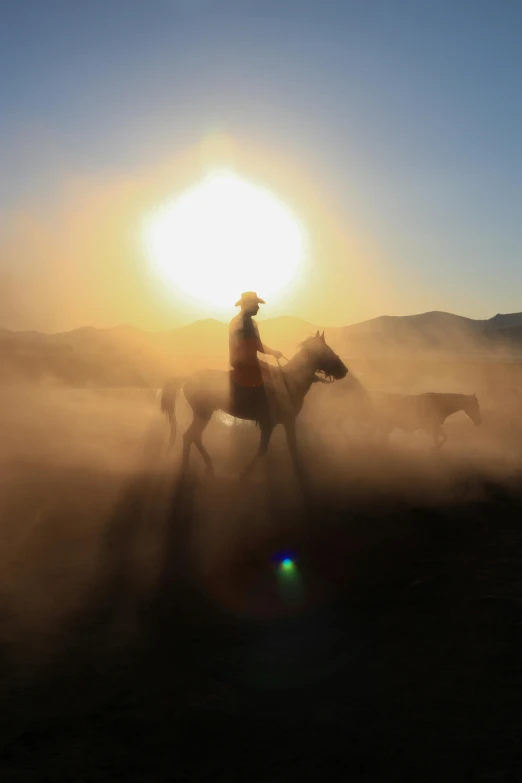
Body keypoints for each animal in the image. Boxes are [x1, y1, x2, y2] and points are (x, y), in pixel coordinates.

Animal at [158, 330, 346, 484]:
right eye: (327, 351)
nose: (344, 371)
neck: (290, 382)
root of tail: (188, 378)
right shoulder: (281, 422)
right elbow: (283, 449)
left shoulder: (272, 424)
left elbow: (268, 449)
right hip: (203, 413)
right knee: (190, 436)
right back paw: (187, 470)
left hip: (204, 413)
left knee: (193, 436)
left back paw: (208, 468)